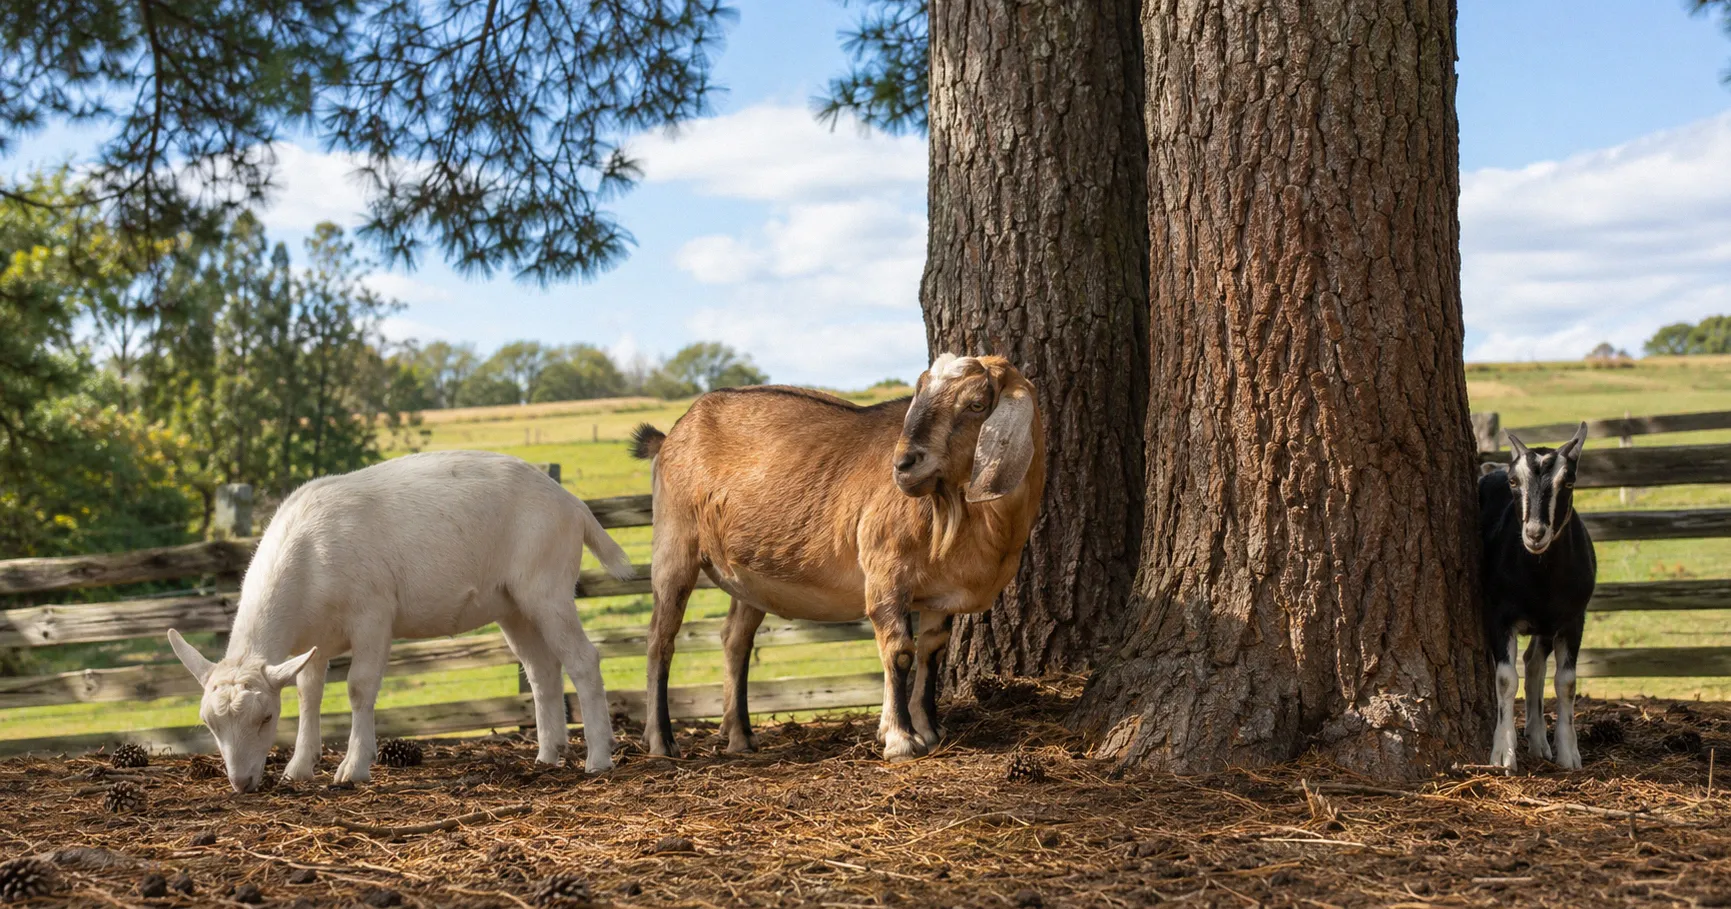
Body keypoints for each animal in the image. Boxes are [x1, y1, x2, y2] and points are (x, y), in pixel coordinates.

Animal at [167, 450, 631, 792]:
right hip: (512, 604)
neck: (306, 563)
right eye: (209, 724)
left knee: (583, 660)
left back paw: (598, 757)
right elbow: (308, 694)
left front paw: (353, 767)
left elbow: (358, 687)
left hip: (547, 585)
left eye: (264, 719)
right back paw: (548, 753)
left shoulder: (372, 614)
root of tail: (574, 505)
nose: (242, 783)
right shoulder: (314, 640)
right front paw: (299, 767)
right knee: (541, 669)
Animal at [629, 354, 1045, 761]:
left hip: (748, 575)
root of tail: (671, 436)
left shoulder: (937, 595)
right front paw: (900, 739)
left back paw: (740, 736)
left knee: (735, 638)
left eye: (976, 404)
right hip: (674, 541)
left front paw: (928, 729)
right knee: (660, 639)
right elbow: (899, 652)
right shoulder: (885, 571)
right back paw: (662, 741)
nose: (903, 464)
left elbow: (931, 651)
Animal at [1480, 423, 1596, 771]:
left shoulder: (1574, 619)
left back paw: (1539, 738)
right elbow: (1506, 679)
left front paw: (1569, 753)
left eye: (1569, 481)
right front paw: (1503, 753)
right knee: (1530, 665)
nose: (1534, 534)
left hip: (1547, 623)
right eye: (1513, 481)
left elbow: (1566, 683)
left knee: (1534, 665)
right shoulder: (1499, 615)